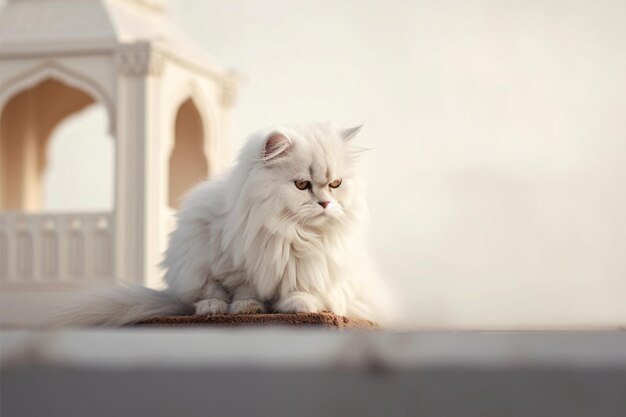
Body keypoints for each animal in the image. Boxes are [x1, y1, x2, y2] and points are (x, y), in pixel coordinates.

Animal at [58, 122, 390, 324]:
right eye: (301, 185)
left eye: (335, 184)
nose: (325, 203)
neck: (291, 232)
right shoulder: (237, 266)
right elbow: (245, 290)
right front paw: (247, 309)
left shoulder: (313, 266)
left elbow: (302, 286)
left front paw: (299, 305)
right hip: (195, 265)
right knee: (202, 298)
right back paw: (213, 310)